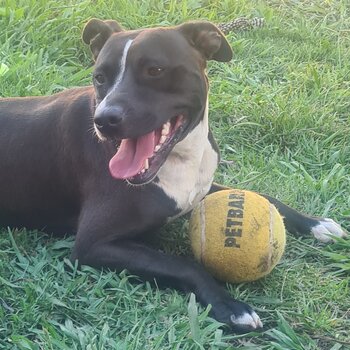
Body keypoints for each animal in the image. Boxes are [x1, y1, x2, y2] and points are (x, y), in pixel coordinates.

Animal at [0, 19, 344, 334]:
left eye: (155, 70)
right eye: (99, 78)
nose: (104, 120)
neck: (181, 157)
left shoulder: (199, 188)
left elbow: (268, 197)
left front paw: (314, 223)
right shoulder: (92, 244)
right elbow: (182, 263)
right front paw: (229, 305)